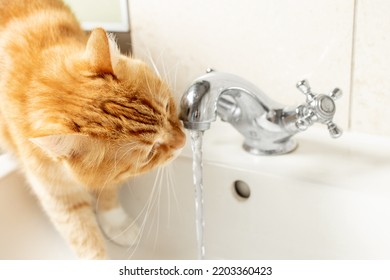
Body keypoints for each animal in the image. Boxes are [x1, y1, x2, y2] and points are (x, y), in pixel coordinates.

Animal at [0, 0, 186, 260]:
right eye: (150, 153)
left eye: (168, 107)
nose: (184, 141)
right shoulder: (57, 194)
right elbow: (83, 236)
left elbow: (107, 192)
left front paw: (116, 223)